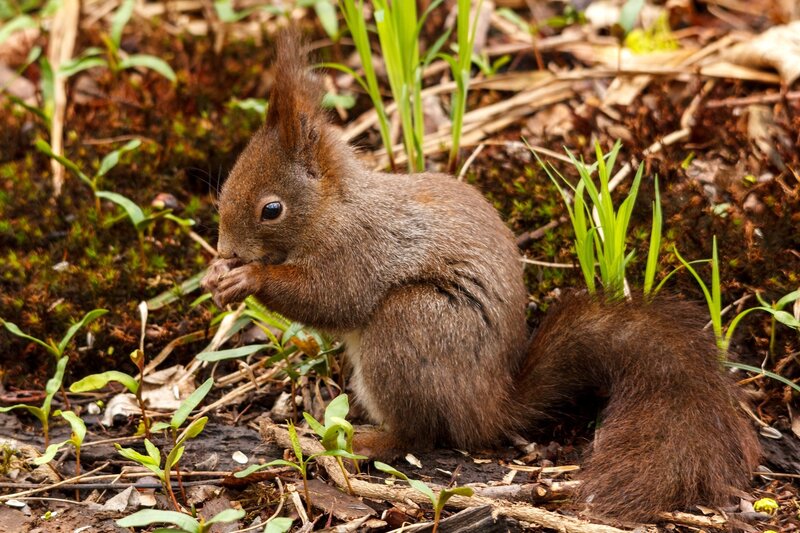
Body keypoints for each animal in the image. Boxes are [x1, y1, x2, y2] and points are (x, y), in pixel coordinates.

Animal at [201, 32, 759, 522]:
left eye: (271, 209)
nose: (226, 250)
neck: (332, 209)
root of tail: (489, 404)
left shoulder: (358, 251)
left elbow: (332, 299)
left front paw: (247, 278)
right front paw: (214, 274)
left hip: (409, 324)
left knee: (419, 434)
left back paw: (362, 440)